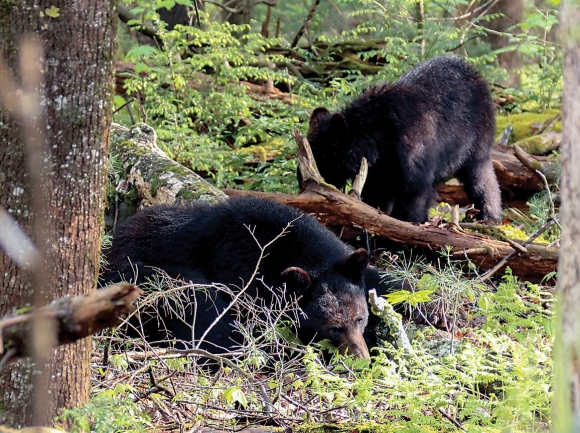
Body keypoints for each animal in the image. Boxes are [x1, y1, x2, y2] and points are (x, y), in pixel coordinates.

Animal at [308, 54, 502, 223]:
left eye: (323, 158)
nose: (306, 183)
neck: (380, 136)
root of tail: (477, 74)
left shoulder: (413, 149)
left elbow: (414, 189)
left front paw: (409, 222)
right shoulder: (380, 166)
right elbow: (378, 190)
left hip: (475, 141)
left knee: (480, 177)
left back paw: (489, 216)